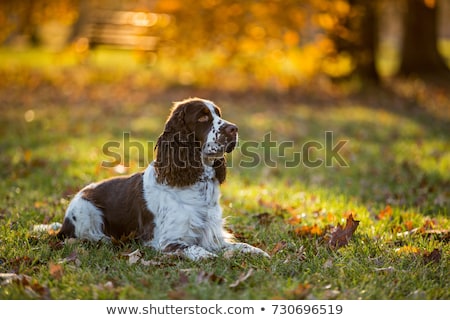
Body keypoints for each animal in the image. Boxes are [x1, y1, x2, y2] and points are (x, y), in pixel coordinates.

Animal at [55, 97, 268, 260]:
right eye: (202, 117)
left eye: (219, 115)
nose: (234, 129)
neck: (197, 183)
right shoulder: (167, 241)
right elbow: (196, 249)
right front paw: (210, 257)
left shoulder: (213, 234)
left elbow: (242, 245)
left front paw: (259, 252)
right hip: (86, 210)